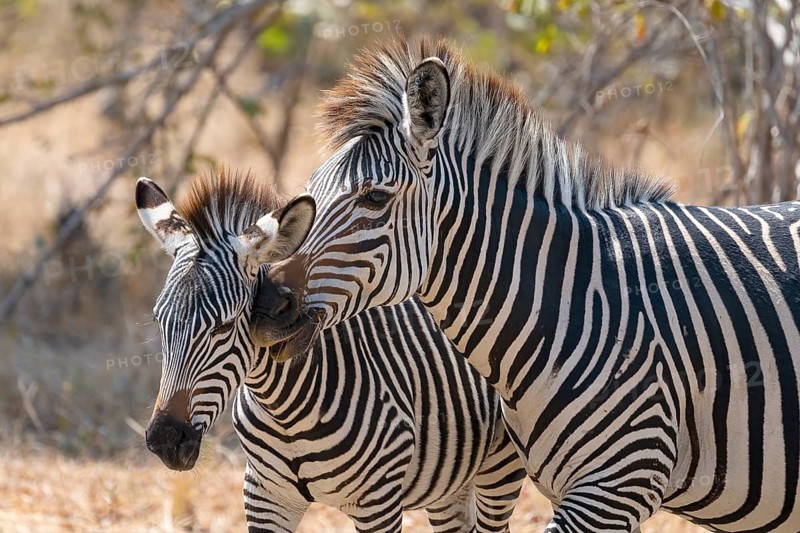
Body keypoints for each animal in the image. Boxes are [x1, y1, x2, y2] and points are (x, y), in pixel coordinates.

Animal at [136, 169, 525, 533]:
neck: (282, 408)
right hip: (450, 479)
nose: (164, 440)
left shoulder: (378, 500)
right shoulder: (264, 495)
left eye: (224, 327)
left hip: (500, 466)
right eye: (159, 321)